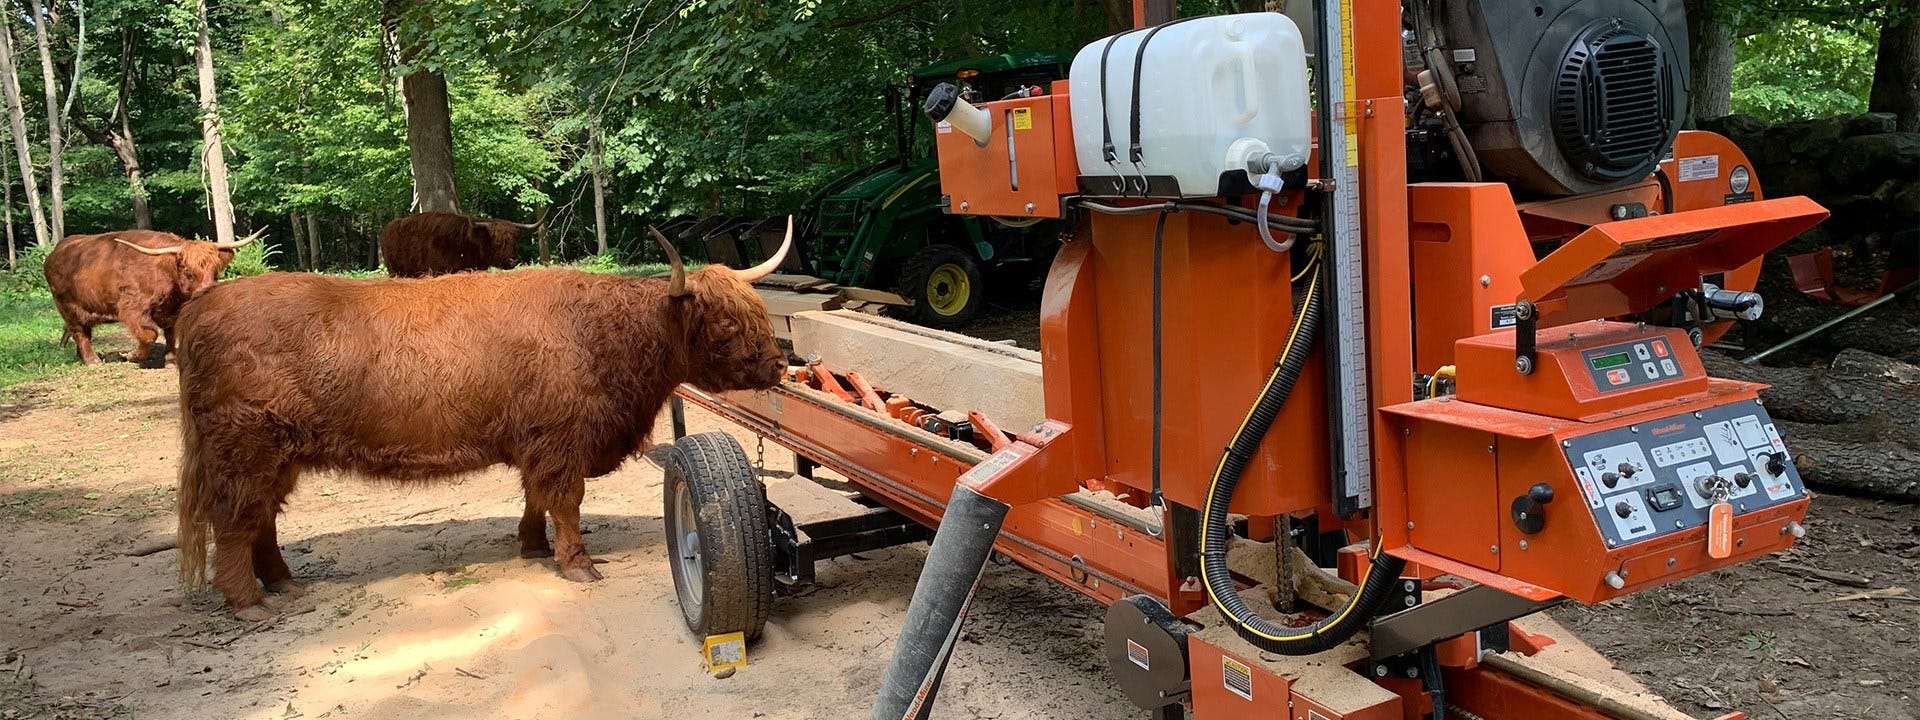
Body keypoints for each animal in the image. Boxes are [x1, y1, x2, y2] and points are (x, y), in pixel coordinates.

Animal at [42, 231, 263, 366]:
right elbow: (149, 334)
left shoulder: (171, 311)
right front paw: (133, 356)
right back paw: (92, 361)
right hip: (67, 307)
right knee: (80, 333)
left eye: (215, 269)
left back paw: (81, 357)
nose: (208, 290)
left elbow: (171, 333)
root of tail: (55, 253)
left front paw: (171, 359)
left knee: (82, 332)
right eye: (186, 269)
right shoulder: (132, 308)